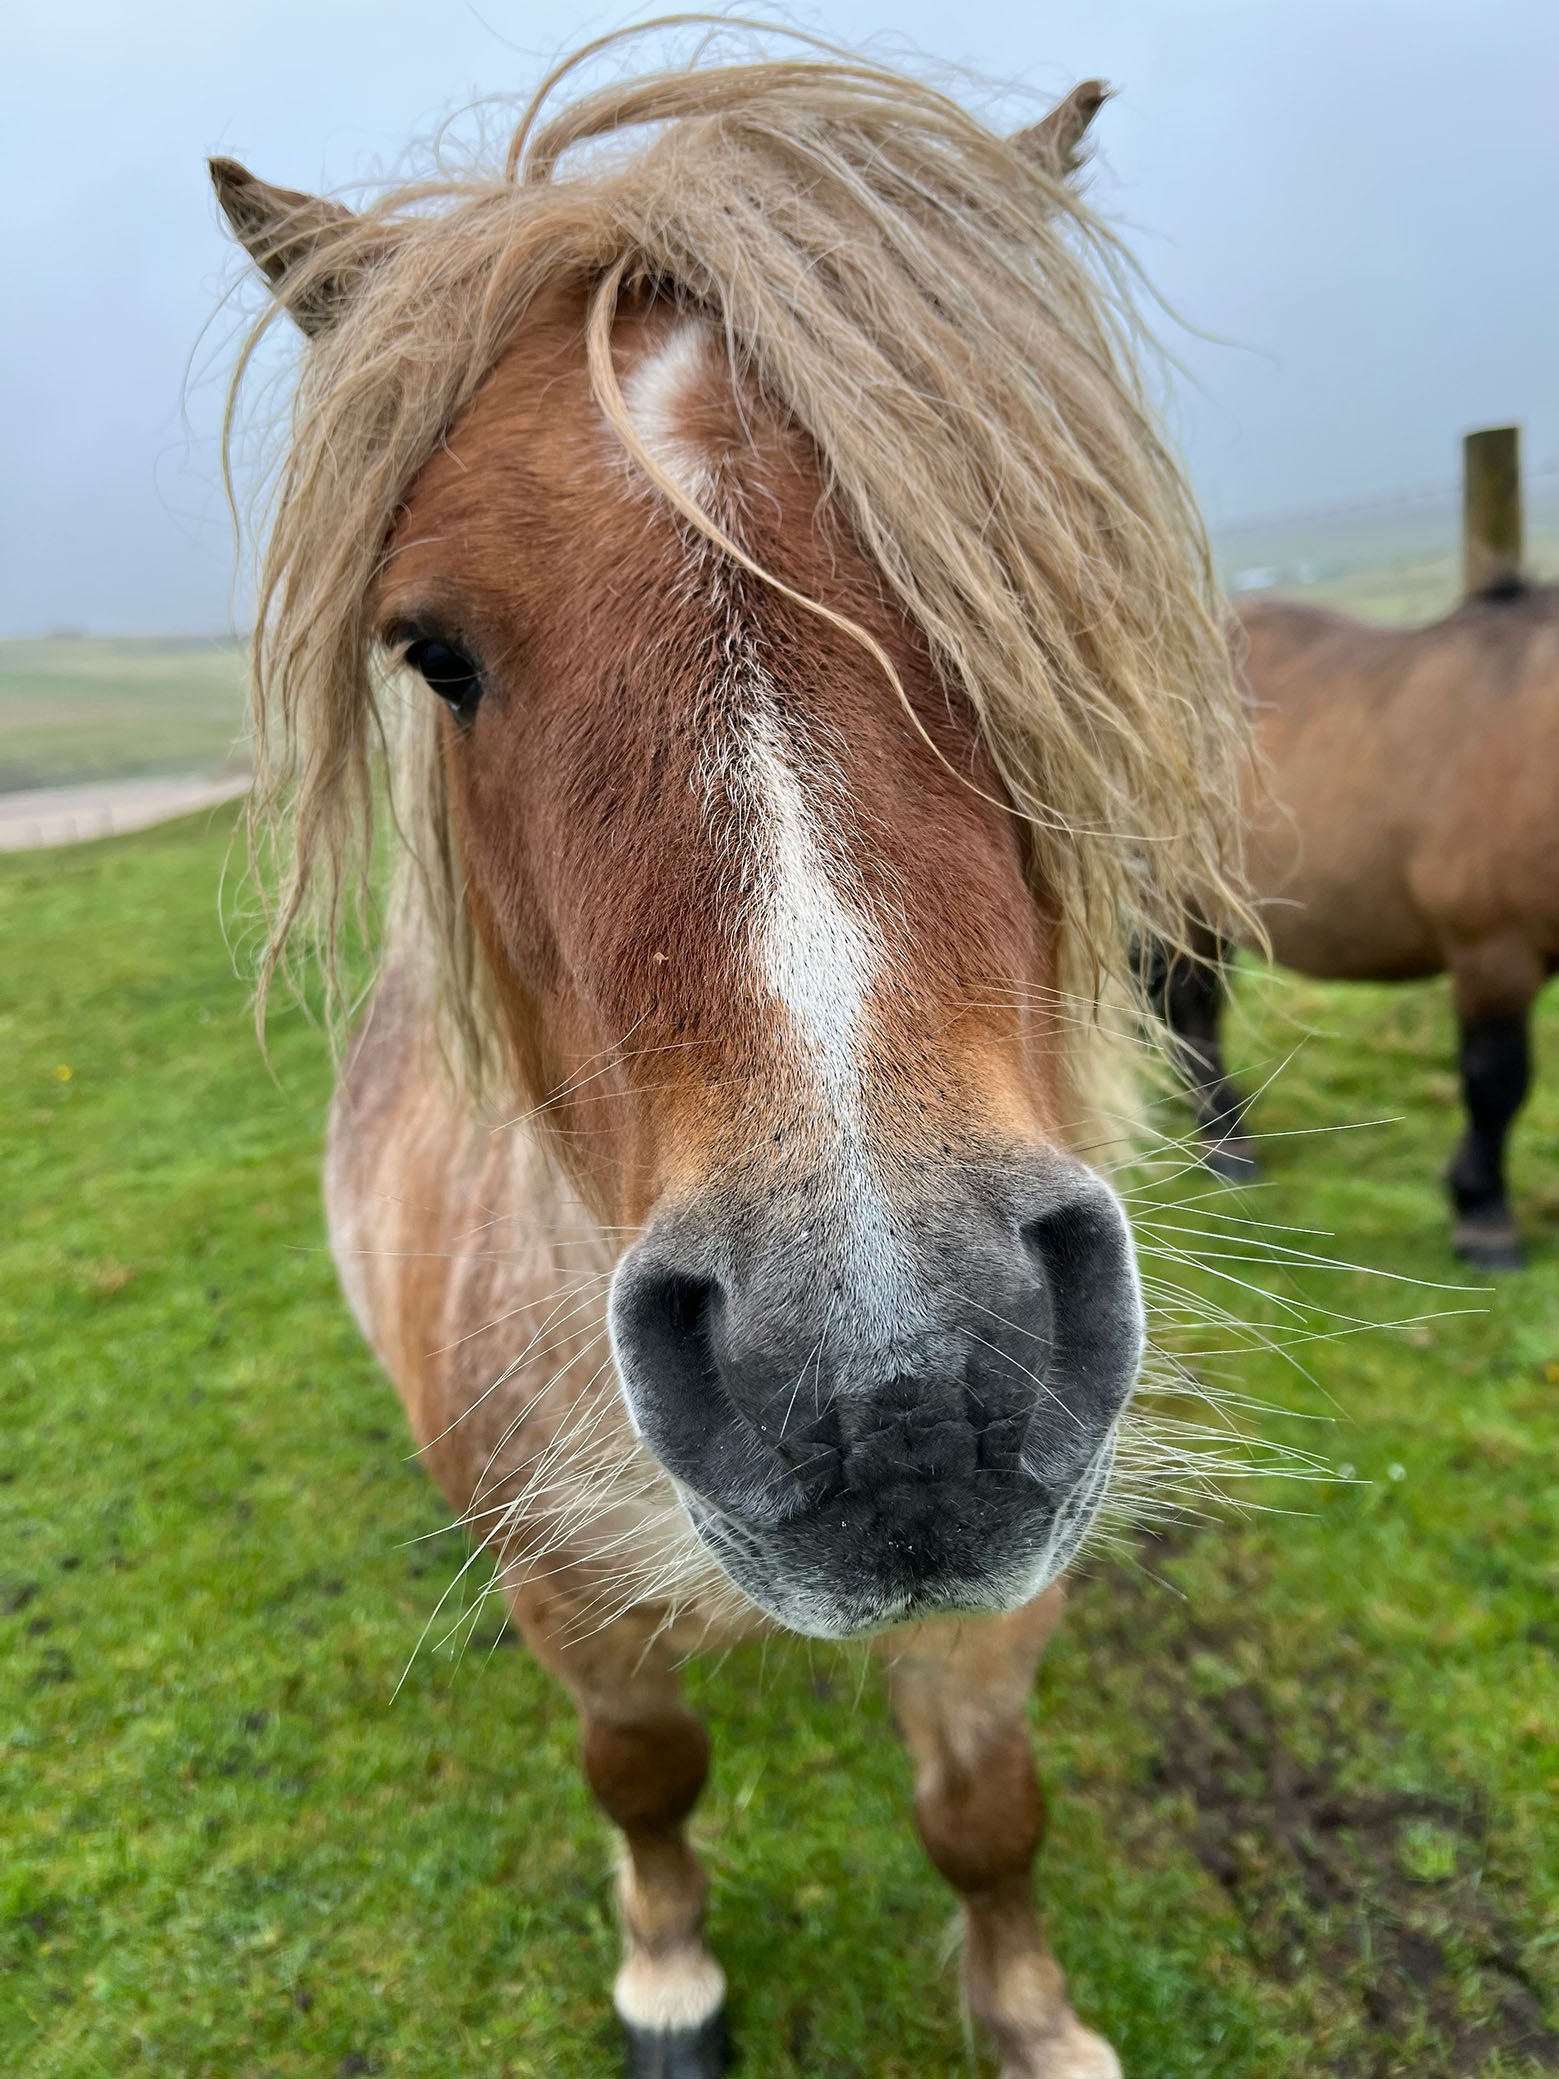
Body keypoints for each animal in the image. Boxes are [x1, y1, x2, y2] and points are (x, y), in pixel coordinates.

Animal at [214, 32, 1255, 2079]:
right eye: (429, 647)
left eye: (999, 563)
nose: (892, 1383)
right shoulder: (575, 1600)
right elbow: (644, 1774)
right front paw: (671, 1969)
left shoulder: (1000, 1597)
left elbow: (984, 1813)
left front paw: (1029, 2015)